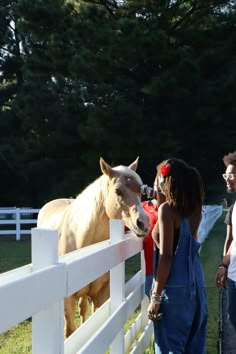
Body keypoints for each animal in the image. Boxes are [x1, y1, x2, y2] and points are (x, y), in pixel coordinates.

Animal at [37, 158, 150, 338]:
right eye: (117, 191)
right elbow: (70, 331)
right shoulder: (67, 300)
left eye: (141, 190)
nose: (144, 223)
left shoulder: (101, 294)